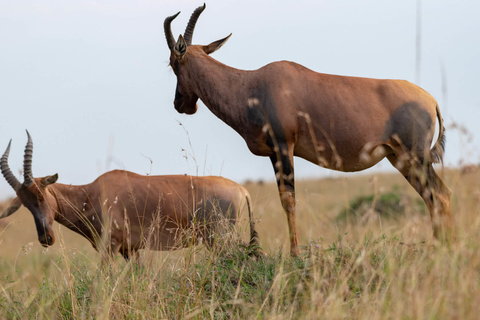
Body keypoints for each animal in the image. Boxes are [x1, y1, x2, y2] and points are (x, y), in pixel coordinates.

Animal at [0, 132, 258, 260]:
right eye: (25, 204)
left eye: (40, 194)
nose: (46, 238)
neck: (91, 193)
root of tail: (242, 190)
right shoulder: (130, 250)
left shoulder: (111, 248)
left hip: (221, 239)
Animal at [163, 3, 452, 256]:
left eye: (173, 63)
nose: (180, 104)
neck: (252, 85)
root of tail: (431, 100)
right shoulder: (273, 153)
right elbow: (284, 198)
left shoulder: (284, 147)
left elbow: (289, 200)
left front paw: (295, 253)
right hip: (400, 159)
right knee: (434, 196)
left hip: (415, 157)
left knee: (440, 195)